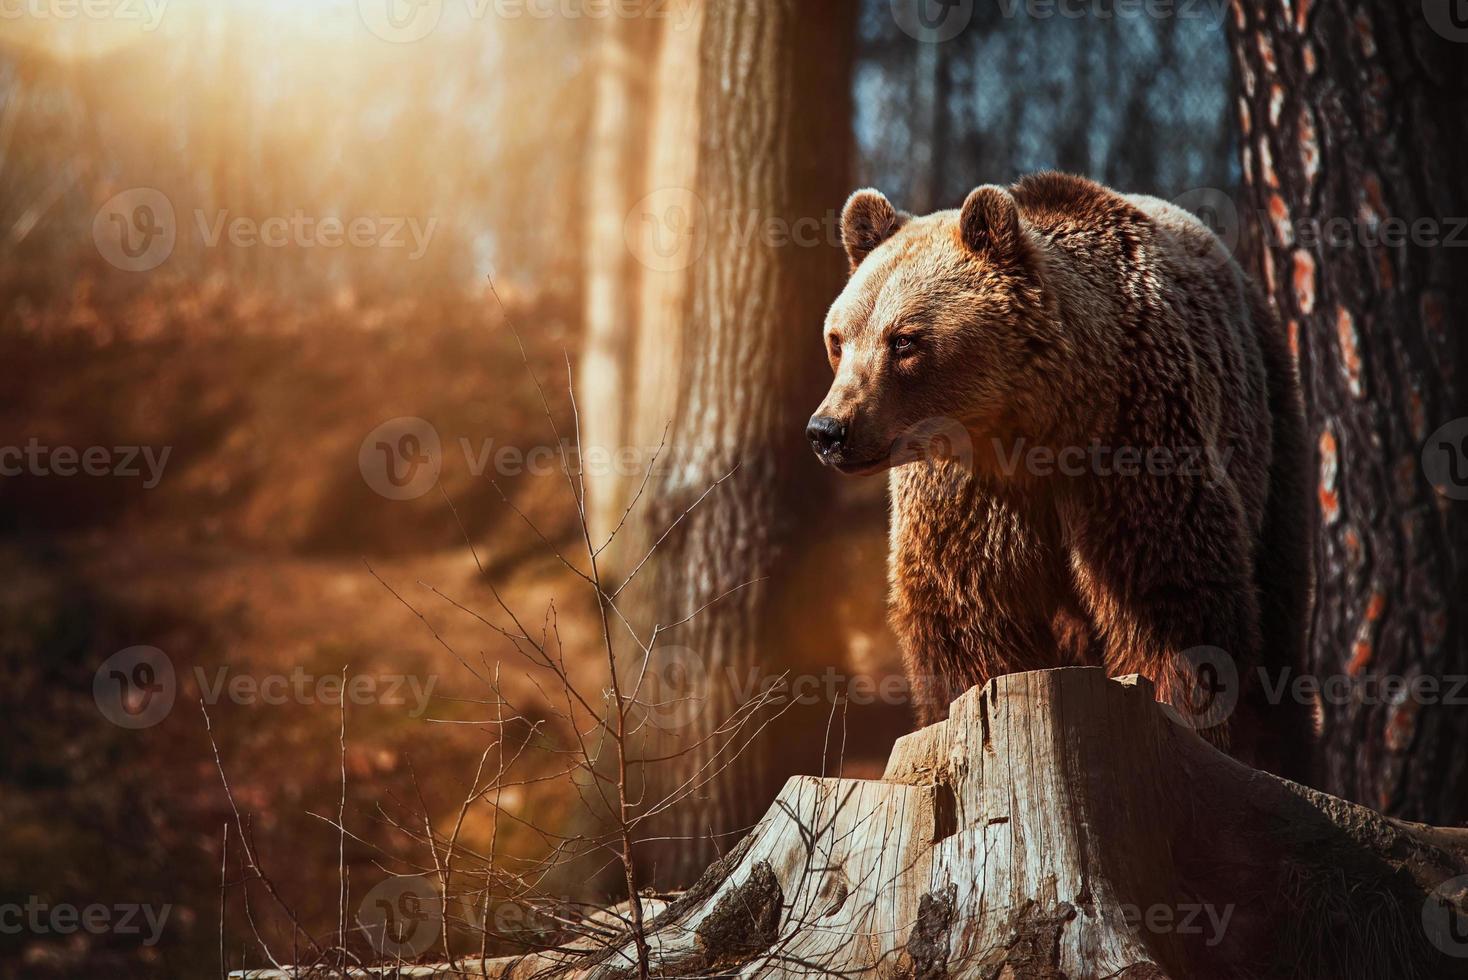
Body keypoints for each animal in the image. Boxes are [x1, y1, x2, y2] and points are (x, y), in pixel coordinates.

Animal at [810, 170, 1315, 780]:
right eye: (839, 339)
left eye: (904, 339)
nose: (828, 429)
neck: (1033, 427)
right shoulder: (968, 492)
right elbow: (968, 609)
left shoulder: (1134, 443)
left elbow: (1170, 596)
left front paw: (1187, 722)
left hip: (1273, 425)